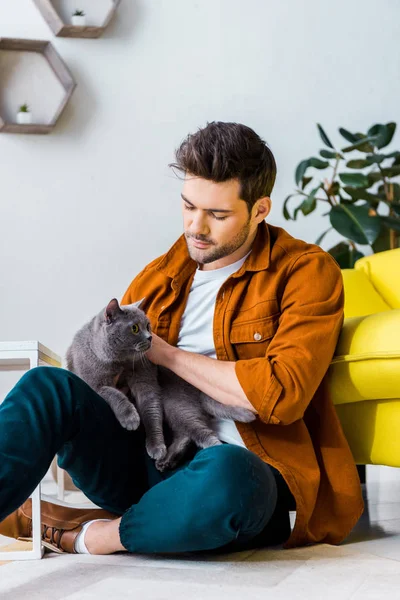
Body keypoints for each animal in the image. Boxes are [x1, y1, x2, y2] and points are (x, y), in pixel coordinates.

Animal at [65, 298, 256, 472]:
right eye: (135, 328)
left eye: (148, 326)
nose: (150, 338)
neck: (121, 362)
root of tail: (199, 391)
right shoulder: (93, 383)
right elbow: (113, 393)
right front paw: (130, 418)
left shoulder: (145, 379)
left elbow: (151, 411)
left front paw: (156, 446)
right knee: (185, 434)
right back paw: (167, 461)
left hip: (175, 403)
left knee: (199, 432)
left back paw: (213, 448)